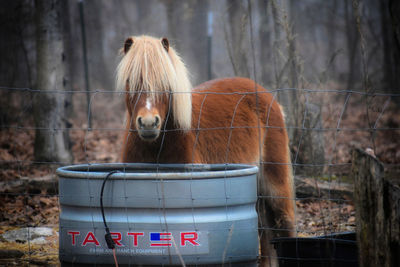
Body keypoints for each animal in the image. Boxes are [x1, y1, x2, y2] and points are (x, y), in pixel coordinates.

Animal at [115, 35, 294, 266]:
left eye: (165, 82)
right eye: (131, 80)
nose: (148, 123)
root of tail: (266, 95)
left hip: (274, 182)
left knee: (285, 223)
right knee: (264, 231)